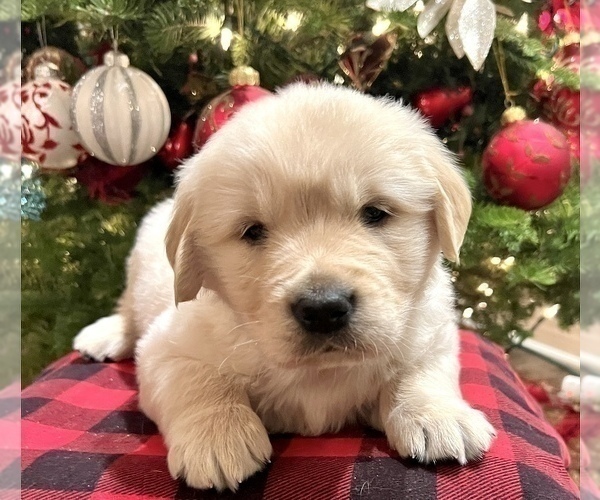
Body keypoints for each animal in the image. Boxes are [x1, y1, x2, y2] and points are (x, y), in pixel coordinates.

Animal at [74, 83, 496, 492]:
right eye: (252, 231)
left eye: (375, 213)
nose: (323, 309)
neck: (321, 371)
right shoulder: (166, 346)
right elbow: (196, 378)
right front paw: (218, 436)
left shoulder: (431, 330)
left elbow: (421, 369)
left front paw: (438, 416)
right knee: (128, 312)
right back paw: (105, 334)